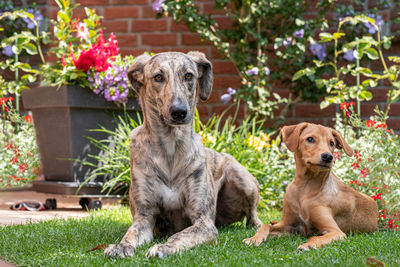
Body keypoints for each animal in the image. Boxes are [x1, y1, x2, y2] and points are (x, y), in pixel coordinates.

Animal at [104, 51, 260, 260]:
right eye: (158, 77)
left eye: (188, 75)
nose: (179, 112)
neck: (170, 149)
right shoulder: (145, 216)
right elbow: (132, 233)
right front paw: (121, 246)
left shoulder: (204, 221)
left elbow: (181, 234)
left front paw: (165, 247)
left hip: (242, 179)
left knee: (253, 216)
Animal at [244, 123, 378, 251]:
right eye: (310, 139)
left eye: (331, 143)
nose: (328, 157)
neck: (305, 188)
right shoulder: (289, 225)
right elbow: (265, 226)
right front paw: (254, 239)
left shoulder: (336, 232)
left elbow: (316, 237)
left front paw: (308, 245)